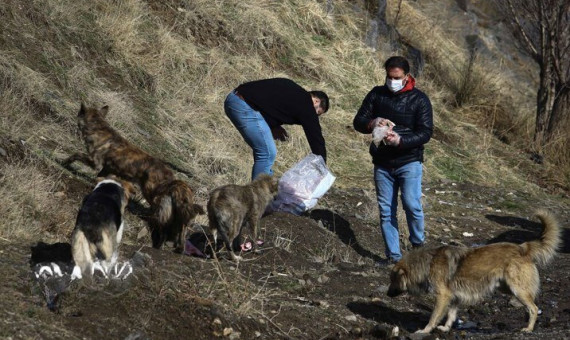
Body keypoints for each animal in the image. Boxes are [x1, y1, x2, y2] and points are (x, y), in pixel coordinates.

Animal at [386, 209, 560, 334]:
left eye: (393, 279)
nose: (387, 294)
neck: (428, 263)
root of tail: (523, 248)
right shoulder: (454, 296)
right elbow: (451, 314)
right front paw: (446, 328)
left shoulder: (443, 295)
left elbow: (434, 316)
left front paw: (425, 330)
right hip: (506, 287)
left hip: (517, 289)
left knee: (533, 308)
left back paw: (529, 329)